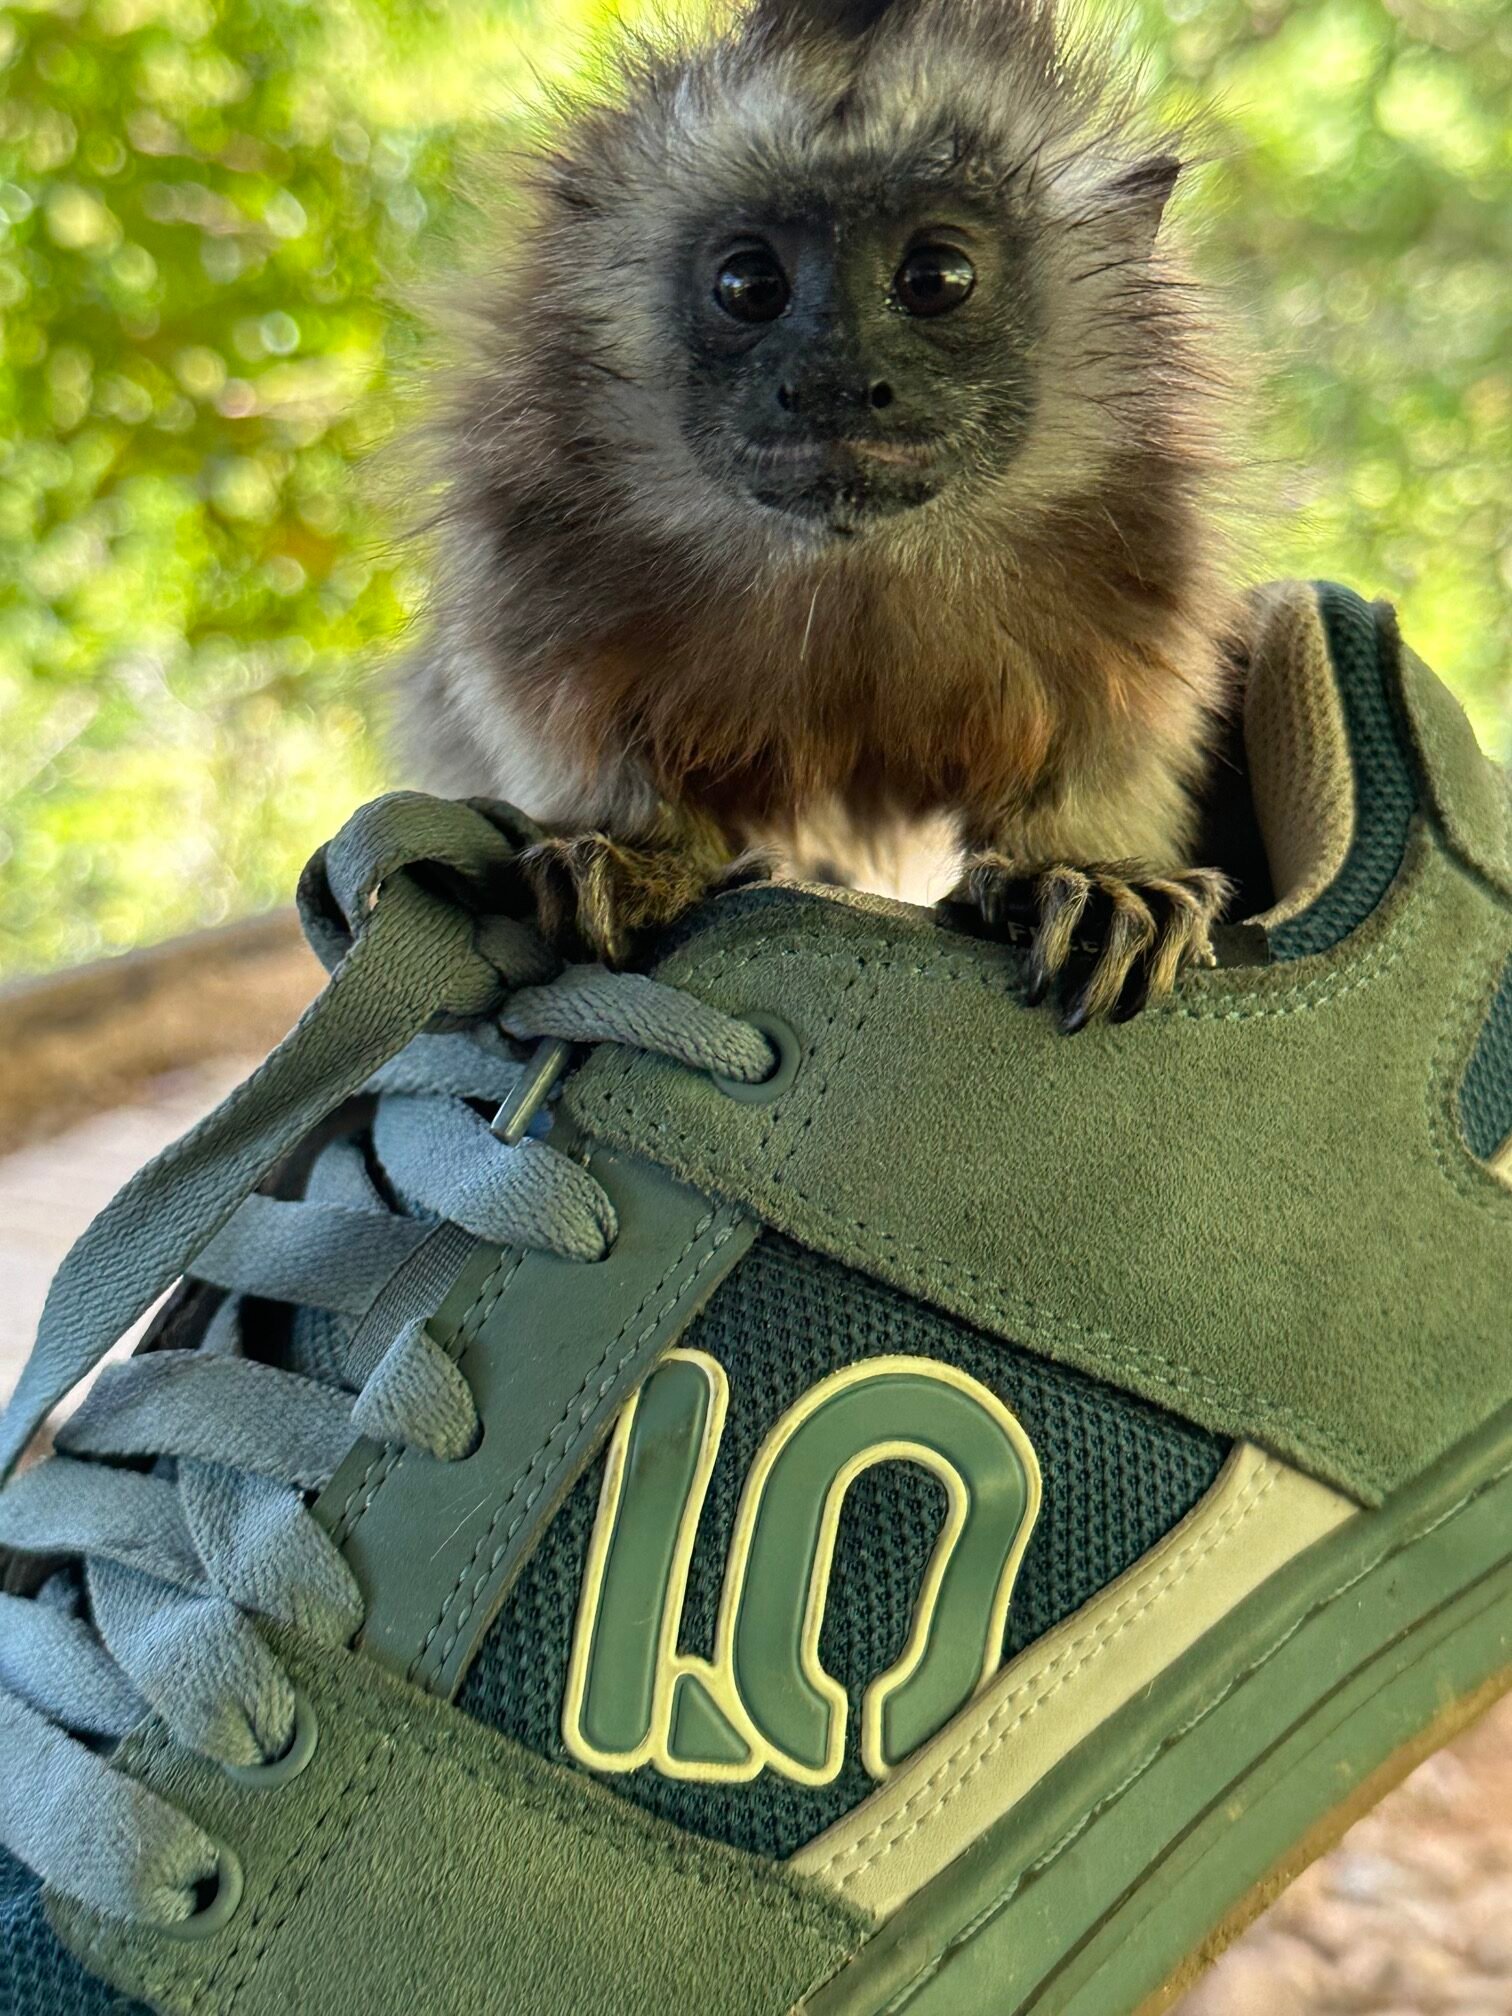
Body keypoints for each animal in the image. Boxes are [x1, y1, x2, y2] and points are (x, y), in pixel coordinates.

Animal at [401, 0, 1244, 1028]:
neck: (857, 573)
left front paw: (1080, 877)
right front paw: (645, 856)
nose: (838, 383)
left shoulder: (1137, 535)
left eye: (936, 278)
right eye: (749, 286)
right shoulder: (539, 527)